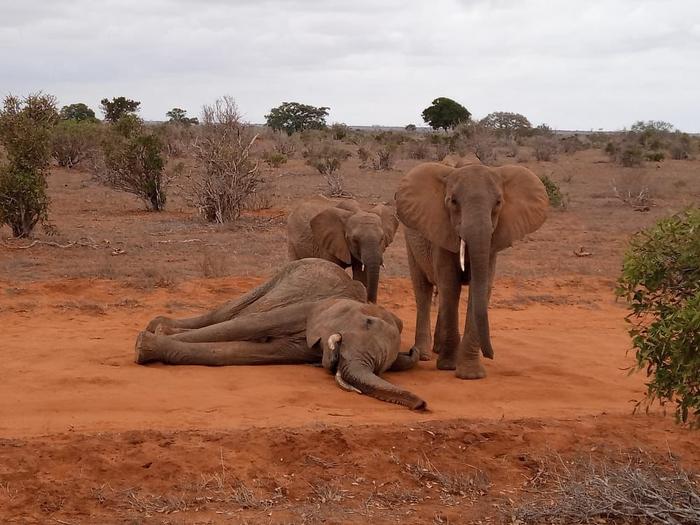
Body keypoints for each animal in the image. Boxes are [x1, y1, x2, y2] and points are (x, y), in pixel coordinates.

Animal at [134, 258, 424, 410]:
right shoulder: (311, 307)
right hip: (280, 276)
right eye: (367, 322)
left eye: (383, 368)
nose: (422, 405)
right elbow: (248, 325)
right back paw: (159, 326)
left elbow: (248, 352)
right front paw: (142, 346)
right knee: (228, 313)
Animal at [394, 163, 548, 376]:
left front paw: (471, 374)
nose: (491, 355)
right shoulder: (442, 233)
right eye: (453, 201)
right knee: (423, 290)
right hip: (410, 239)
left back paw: (438, 349)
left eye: (498, 202)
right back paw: (425, 354)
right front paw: (448, 366)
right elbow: (450, 285)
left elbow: (480, 287)